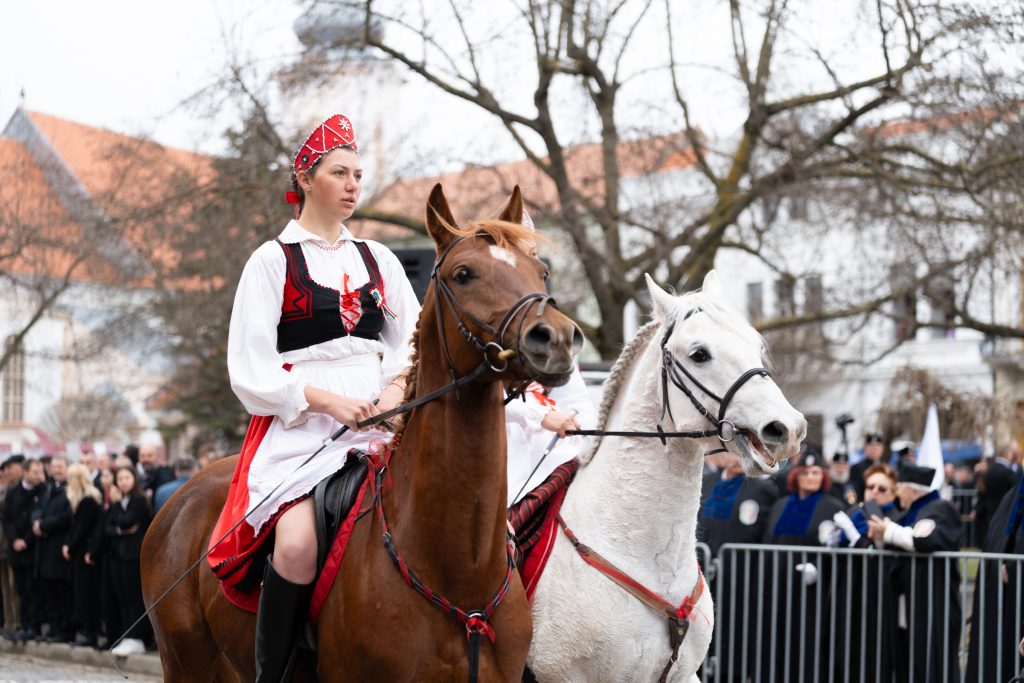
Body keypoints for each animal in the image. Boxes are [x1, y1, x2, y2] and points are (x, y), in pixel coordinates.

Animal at [142, 184, 585, 679]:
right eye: (464, 274)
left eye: (542, 270)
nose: (556, 339)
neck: (457, 569)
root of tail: (182, 493)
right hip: (187, 662)